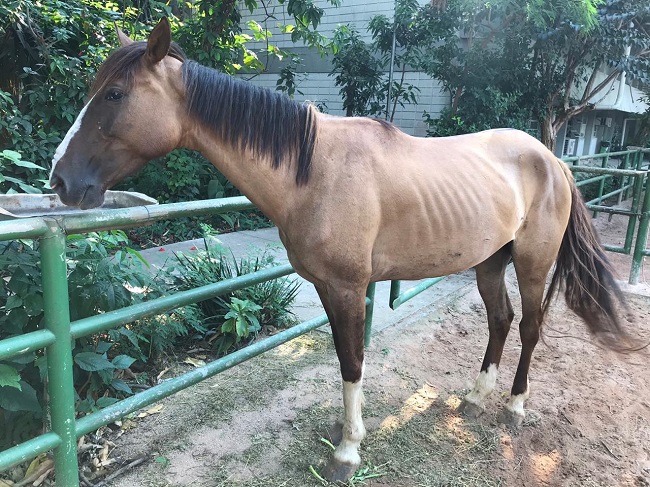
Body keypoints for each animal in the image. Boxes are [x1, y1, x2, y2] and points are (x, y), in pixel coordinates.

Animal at [49, 17, 632, 482]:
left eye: (115, 94)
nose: (59, 180)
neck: (313, 172)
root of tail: (553, 160)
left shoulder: (350, 288)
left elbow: (352, 362)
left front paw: (348, 451)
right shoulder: (330, 289)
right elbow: (343, 357)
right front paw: (343, 428)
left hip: (532, 264)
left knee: (530, 326)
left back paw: (513, 405)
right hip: (490, 262)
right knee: (501, 319)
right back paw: (474, 396)